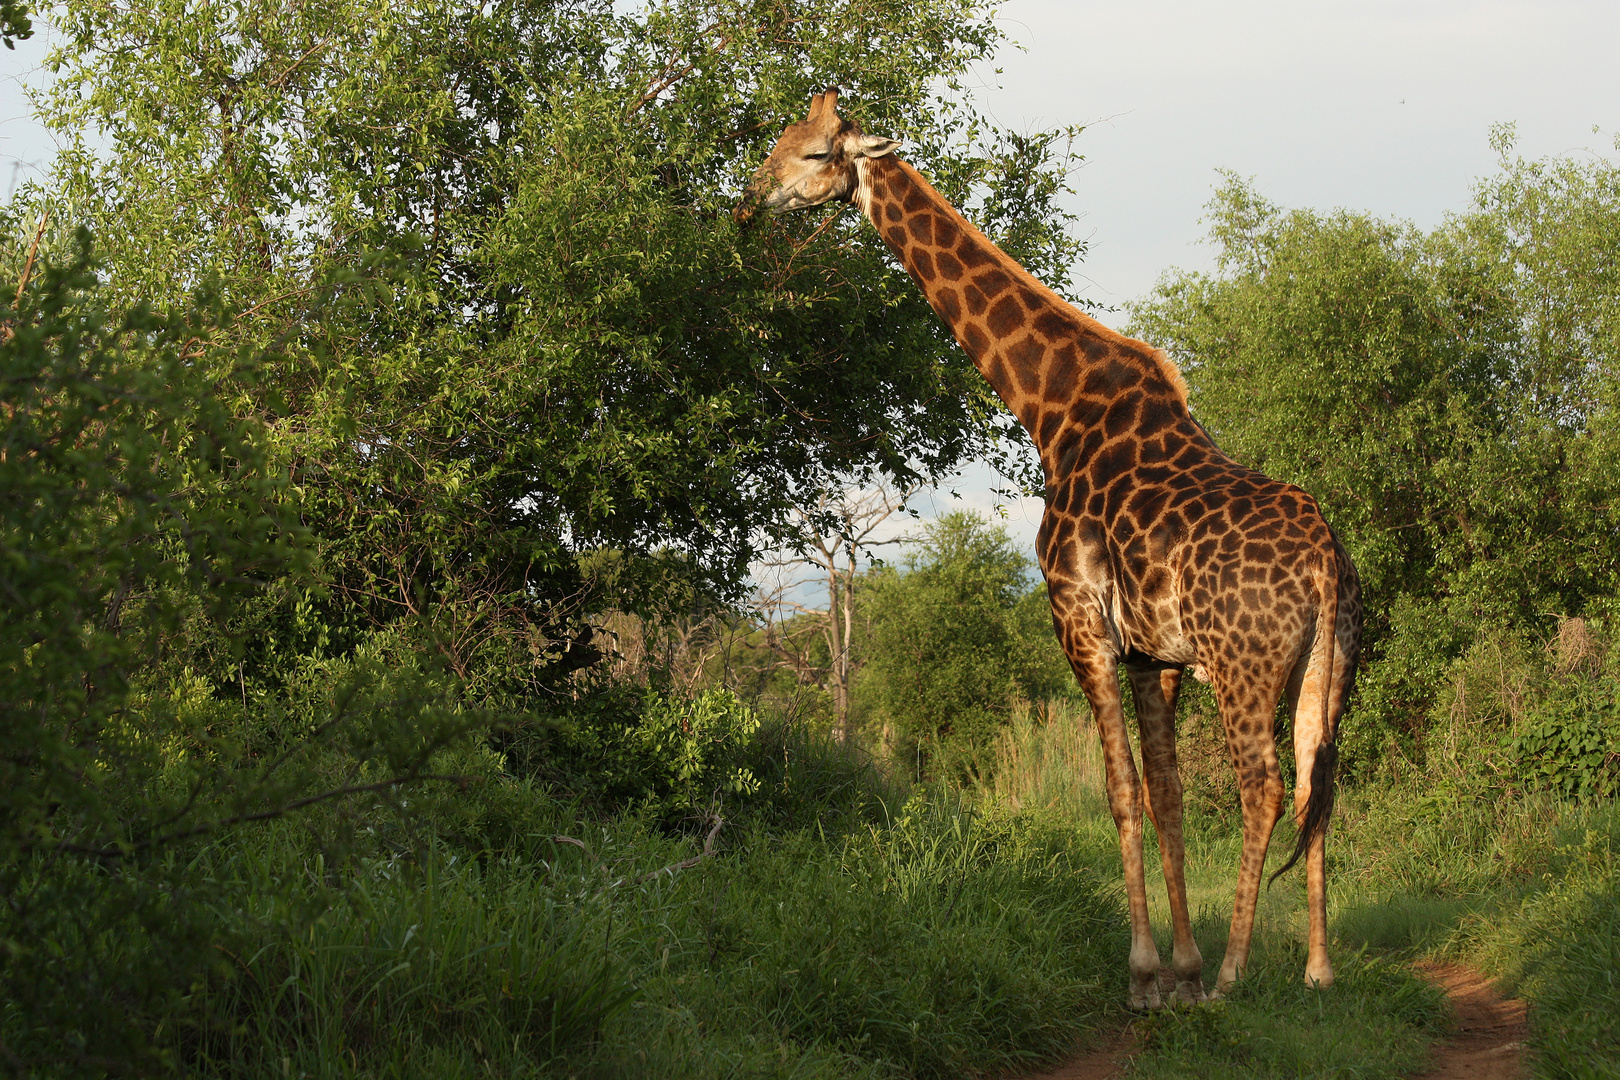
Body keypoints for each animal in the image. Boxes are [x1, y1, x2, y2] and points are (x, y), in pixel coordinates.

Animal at [741, 88, 1360, 1010]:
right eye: (780, 141)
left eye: (815, 154)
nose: (752, 200)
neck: (1053, 410)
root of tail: (1324, 561)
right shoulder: (1154, 654)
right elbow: (1166, 793)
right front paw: (1180, 965)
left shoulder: (1079, 622)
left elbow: (1119, 790)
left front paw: (1147, 974)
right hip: (1326, 665)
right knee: (1320, 777)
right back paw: (1317, 969)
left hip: (1244, 663)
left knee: (1265, 785)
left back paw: (1237, 975)